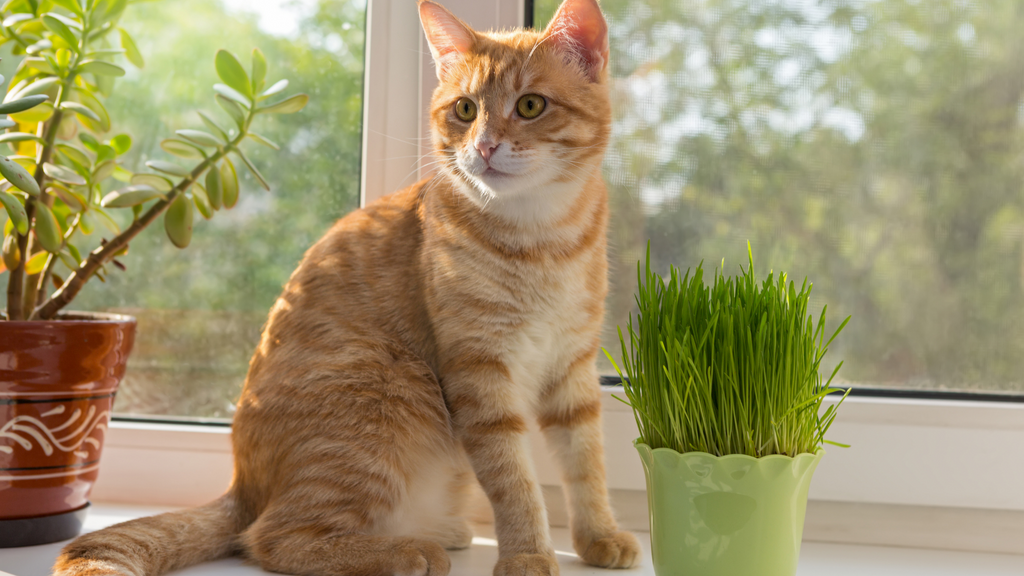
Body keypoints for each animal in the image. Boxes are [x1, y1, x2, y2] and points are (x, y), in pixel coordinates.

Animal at [54, 1, 638, 573]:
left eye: (531, 105)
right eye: (466, 110)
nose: (486, 147)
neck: (541, 239)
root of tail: (244, 485)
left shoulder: (573, 368)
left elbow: (586, 464)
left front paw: (598, 537)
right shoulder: (480, 374)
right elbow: (515, 481)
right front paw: (529, 554)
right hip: (386, 389)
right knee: (273, 538)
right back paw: (406, 551)